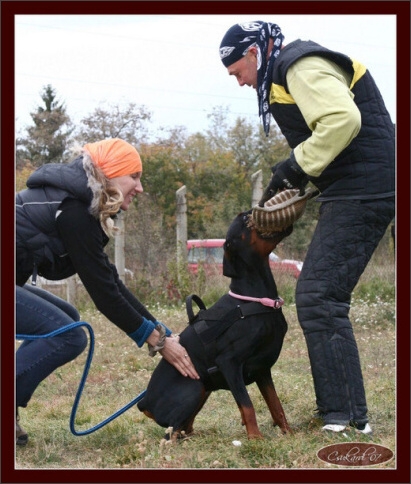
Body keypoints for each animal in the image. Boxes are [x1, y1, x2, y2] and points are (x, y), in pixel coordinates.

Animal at [138, 210, 292, 440]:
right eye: (245, 219)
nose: (256, 210)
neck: (255, 301)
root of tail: (145, 402)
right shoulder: (229, 363)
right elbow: (247, 405)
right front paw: (255, 439)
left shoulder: (263, 369)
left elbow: (276, 405)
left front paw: (289, 432)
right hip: (194, 387)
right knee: (170, 433)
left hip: (205, 389)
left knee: (184, 427)